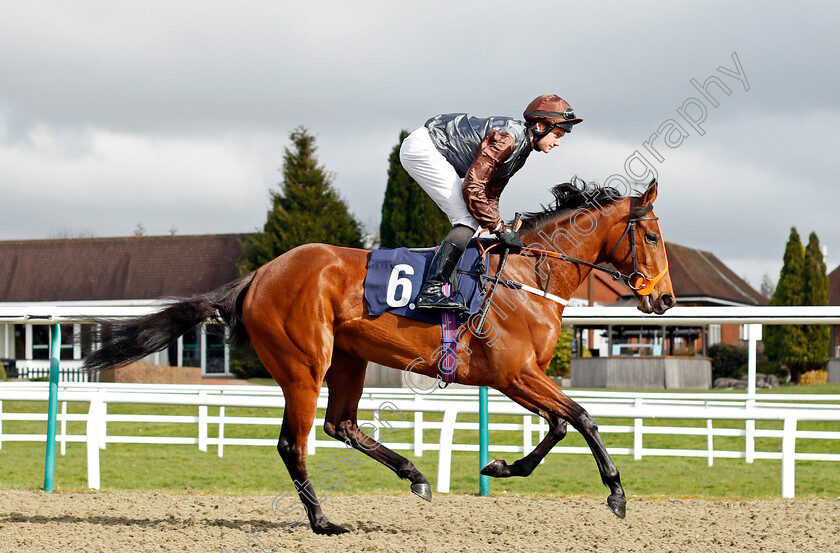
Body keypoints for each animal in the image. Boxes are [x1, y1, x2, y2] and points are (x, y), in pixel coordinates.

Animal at [83, 179, 676, 532]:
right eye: (650, 235)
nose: (665, 300)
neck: (527, 276)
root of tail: (260, 273)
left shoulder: (515, 377)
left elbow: (558, 425)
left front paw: (501, 466)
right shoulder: (515, 373)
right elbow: (582, 417)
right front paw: (616, 493)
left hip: (349, 358)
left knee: (340, 424)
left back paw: (414, 475)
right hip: (304, 365)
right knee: (293, 443)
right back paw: (323, 521)